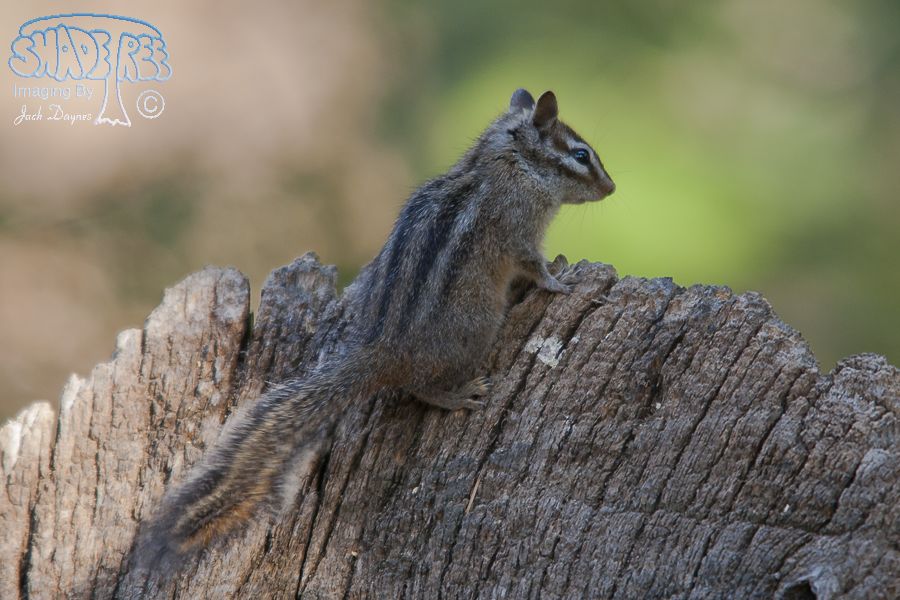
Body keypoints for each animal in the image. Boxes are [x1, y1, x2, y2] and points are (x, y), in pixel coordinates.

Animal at [137, 88, 615, 566]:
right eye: (581, 154)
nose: (611, 188)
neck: (508, 161)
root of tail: (383, 350)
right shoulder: (518, 231)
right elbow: (534, 265)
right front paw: (560, 281)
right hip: (476, 329)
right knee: (421, 387)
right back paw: (458, 395)